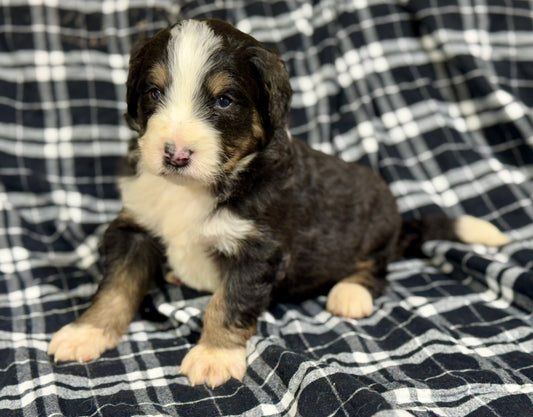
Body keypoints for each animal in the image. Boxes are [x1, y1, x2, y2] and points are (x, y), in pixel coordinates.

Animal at [48, 17, 508, 388]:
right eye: (154, 92)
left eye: (224, 100)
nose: (175, 154)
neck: (197, 187)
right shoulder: (136, 227)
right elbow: (116, 287)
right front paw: (86, 333)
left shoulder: (258, 248)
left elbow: (227, 302)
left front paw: (213, 355)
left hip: (375, 225)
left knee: (376, 268)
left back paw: (350, 293)